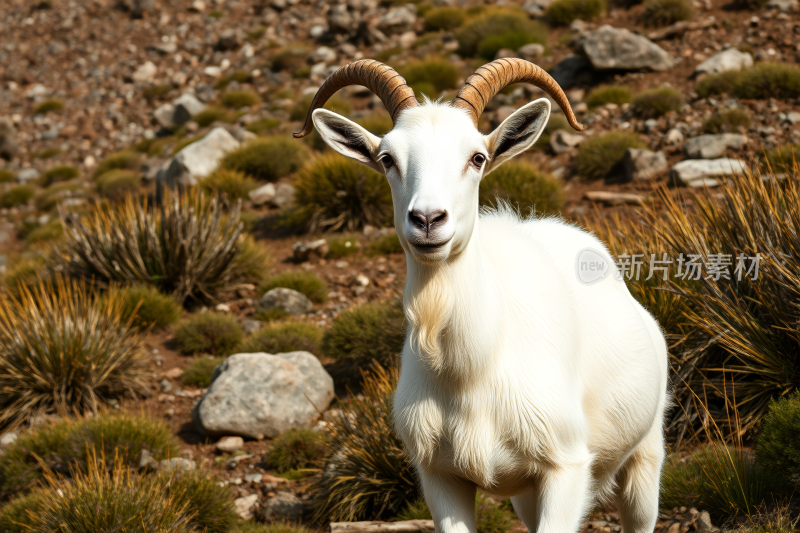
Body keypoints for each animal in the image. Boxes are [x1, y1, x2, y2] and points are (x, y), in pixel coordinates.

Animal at [294, 57, 668, 532]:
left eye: (477, 157)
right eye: (387, 159)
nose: (428, 220)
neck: (470, 371)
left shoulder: (565, 469)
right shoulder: (441, 477)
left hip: (644, 459)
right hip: (525, 495)